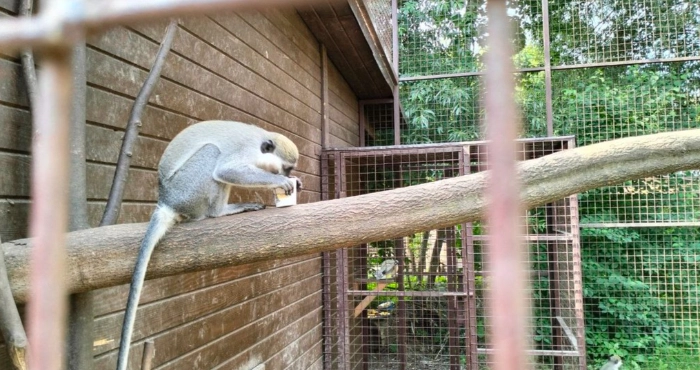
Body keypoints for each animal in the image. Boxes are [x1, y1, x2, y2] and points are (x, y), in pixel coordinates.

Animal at [115, 120, 300, 370]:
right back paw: (220, 211)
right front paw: (278, 182)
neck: (260, 143)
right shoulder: (244, 150)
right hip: (186, 190)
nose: (287, 174)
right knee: (212, 154)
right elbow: (226, 170)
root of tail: (166, 200)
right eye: (286, 168)